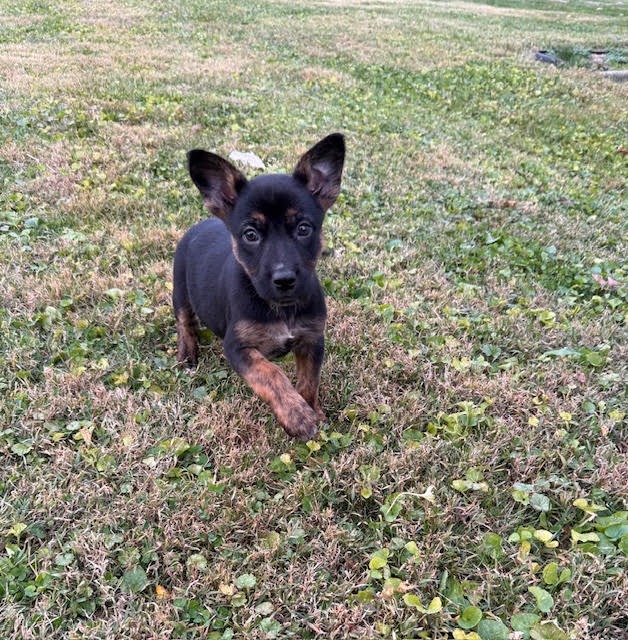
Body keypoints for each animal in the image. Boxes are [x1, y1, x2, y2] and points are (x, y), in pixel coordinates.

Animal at [173, 134, 345, 440]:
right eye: (250, 235)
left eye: (303, 229)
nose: (284, 279)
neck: (280, 308)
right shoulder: (237, 347)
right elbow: (270, 373)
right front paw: (297, 415)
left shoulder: (313, 340)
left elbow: (309, 381)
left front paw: (312, 410)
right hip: (180, 290)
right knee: (185, 322)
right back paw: (187, 354)